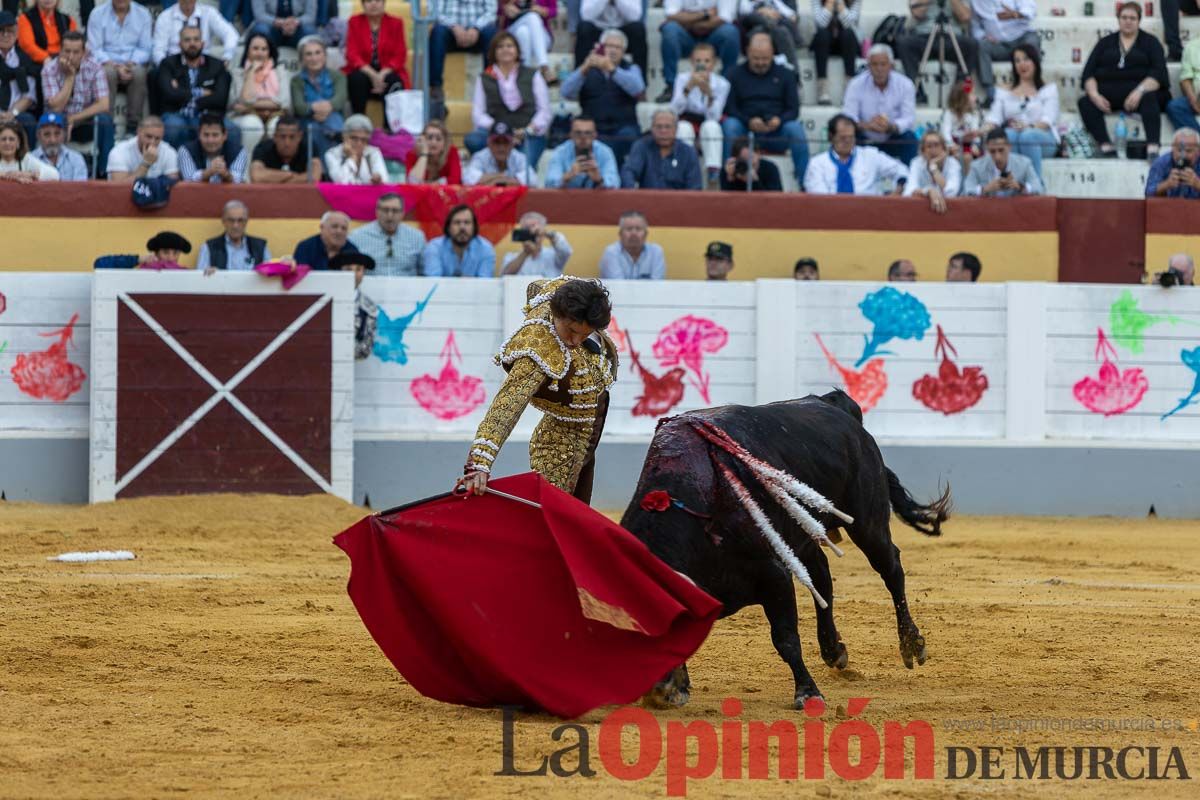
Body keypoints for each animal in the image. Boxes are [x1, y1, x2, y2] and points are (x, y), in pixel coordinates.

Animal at [619, 388, 945, 705]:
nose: (653, 692)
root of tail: (832, 404)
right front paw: (679, 687)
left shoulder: (774, 576)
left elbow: (785, 638)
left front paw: (808, 693)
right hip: (802, 532)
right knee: (822, 575)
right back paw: (833, 649)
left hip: (867, 521)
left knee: (890, 569)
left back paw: (911, 644)